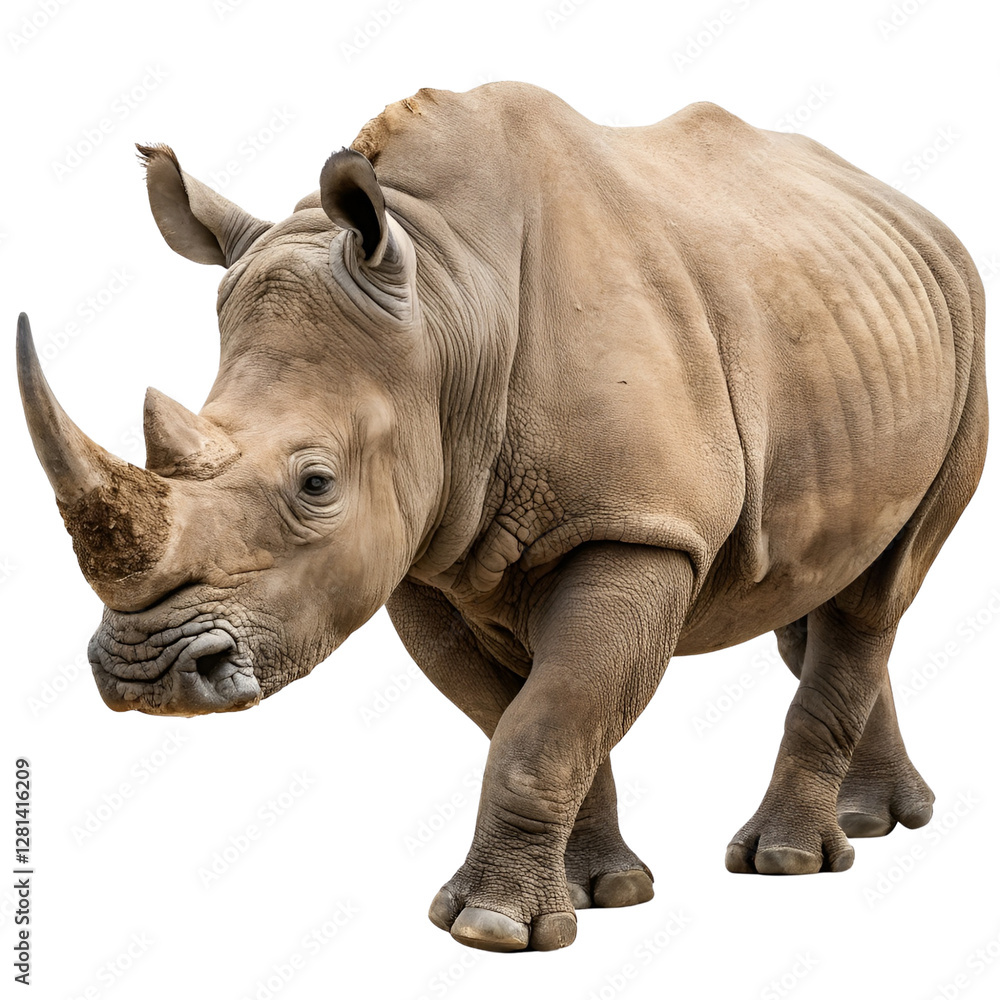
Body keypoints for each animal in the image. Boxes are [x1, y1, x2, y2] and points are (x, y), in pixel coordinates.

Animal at [17, 82, 987, 952]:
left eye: (317, 484)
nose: (148, 676)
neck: (448, 300)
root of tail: (913, 211)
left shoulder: (638, 526)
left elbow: (544, 724)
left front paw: (490, 929)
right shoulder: (419, 549)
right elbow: (522, 715)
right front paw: (602, 891)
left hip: (969, 332)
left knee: (879, 591)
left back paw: (787, 861)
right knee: (815, 588)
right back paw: (877, 822)